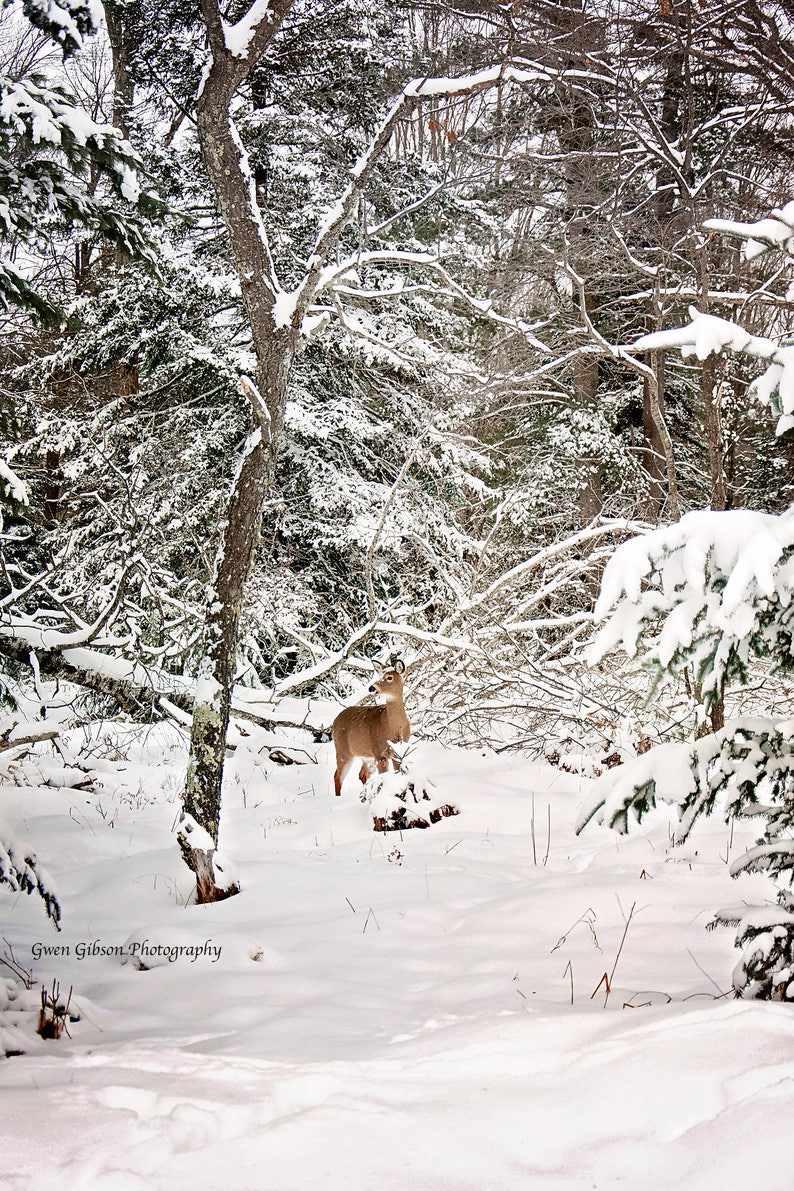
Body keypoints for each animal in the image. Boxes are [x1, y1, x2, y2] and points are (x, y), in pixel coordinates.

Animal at [332, 659, 410, 796]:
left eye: (389, 677)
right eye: (379, 675)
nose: (371, 687)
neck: (393, 728)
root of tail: (334, 721)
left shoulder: (398, 751)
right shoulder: (380, 752)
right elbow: (384, 778)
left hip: (365, 755)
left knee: (361, 774)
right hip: (343, 751)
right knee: (337, 776)